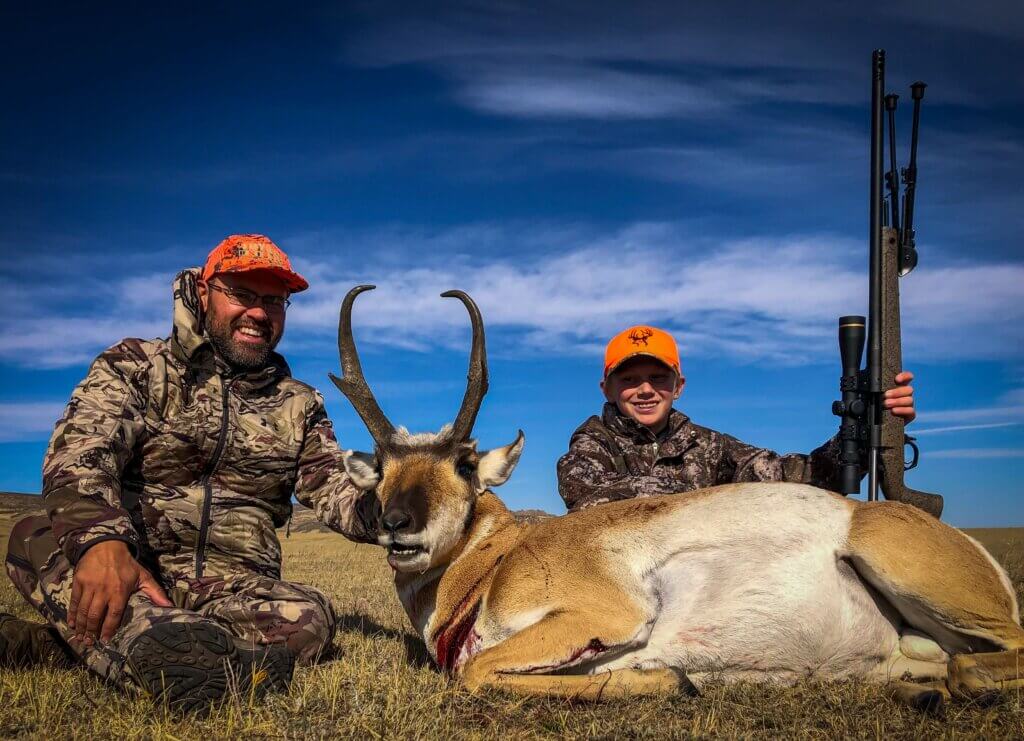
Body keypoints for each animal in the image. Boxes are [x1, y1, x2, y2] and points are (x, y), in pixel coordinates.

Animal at [331, 285, 1023, 712]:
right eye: (382, 468)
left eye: (466, 463)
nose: (397, 525)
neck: (496, 561)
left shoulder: (605, 616)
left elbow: (476, 673)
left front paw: (673, 677)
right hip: (908, 647)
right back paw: (920, 694)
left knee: (988, 657)